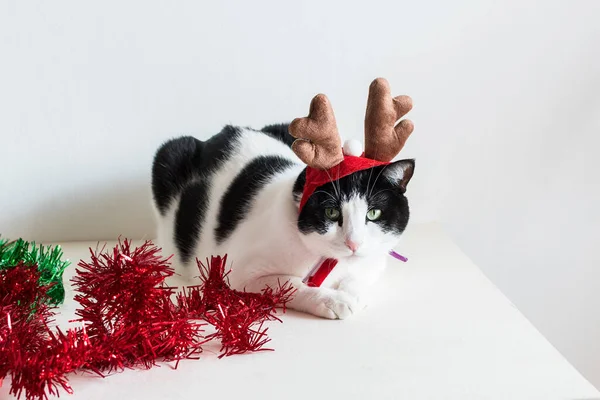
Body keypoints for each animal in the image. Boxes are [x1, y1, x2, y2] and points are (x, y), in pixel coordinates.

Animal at [151, 123, 412, 320]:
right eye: (331, 212)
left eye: (373, 214)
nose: (354, 243)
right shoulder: (239, 273)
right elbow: (290, 283)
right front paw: (333, 300)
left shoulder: (375, 261)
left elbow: (357, 279)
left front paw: (352, 295)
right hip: (168, 153)